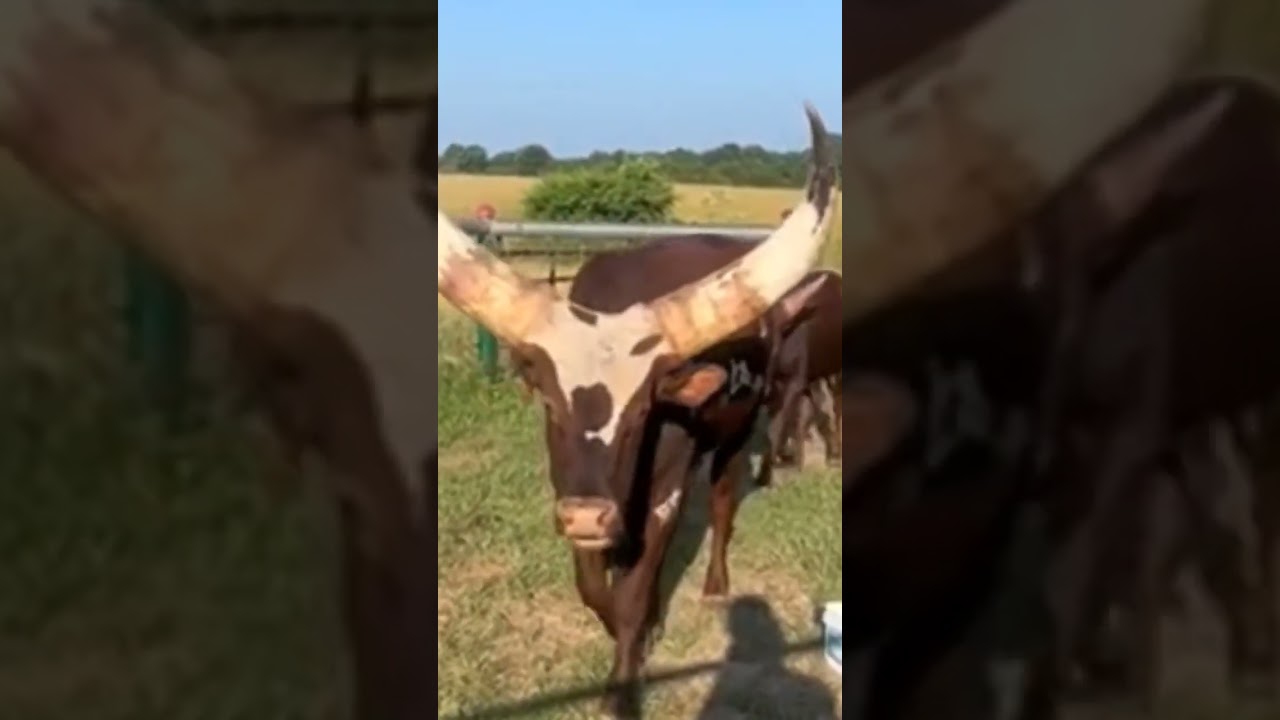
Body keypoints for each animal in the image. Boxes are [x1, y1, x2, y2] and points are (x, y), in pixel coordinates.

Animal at [766, 269, 842, 475]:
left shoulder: (796, 382)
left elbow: (782, 422)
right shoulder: (790, 384)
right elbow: (796, 418)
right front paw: (793, 458)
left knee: (836, 404)